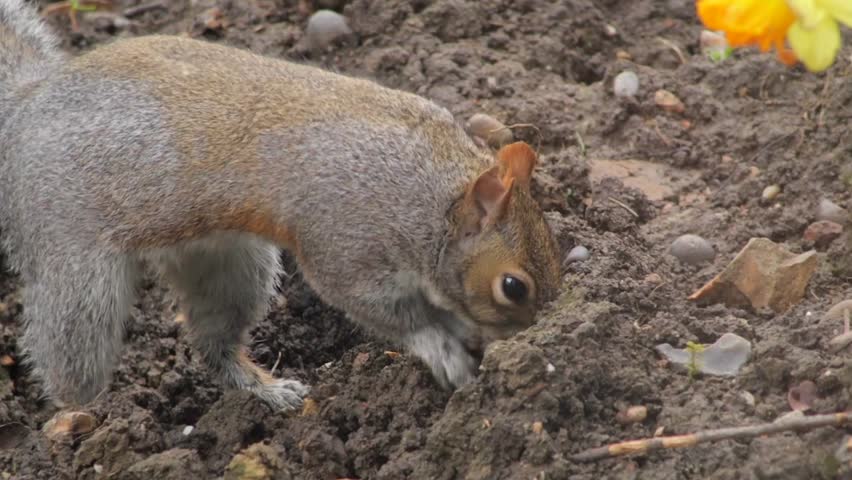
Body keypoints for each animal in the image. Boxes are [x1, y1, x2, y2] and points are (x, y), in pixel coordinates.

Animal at [0, 0, 561, 411]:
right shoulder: (347, 244)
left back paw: (264, 389)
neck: (429, 195)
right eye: (513, 287)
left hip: (225, 263)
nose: (527, 341)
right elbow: (389, 311)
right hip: (73, 258)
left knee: (215, 343)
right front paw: (440, 346)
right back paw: (84, 419)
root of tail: (26, 105)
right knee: (71, 357)